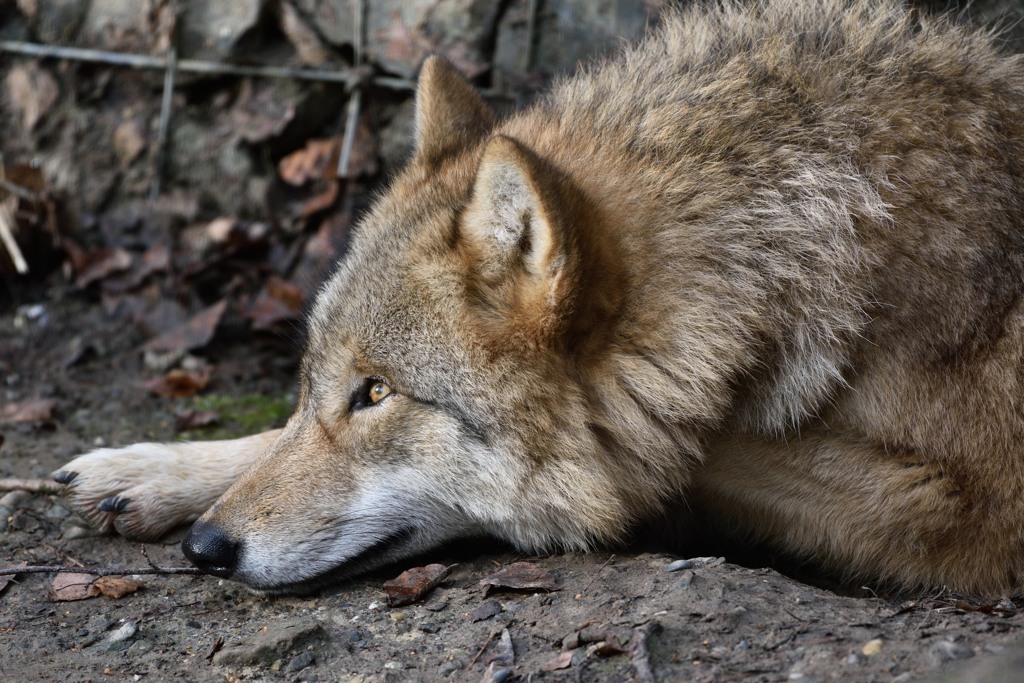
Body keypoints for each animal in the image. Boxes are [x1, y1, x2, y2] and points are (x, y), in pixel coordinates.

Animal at [55, 0, 1024, 596]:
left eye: (377, 394)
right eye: (313, 384)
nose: (206, 548)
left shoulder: (967, 507)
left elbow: (678, 462)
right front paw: (144, 470)